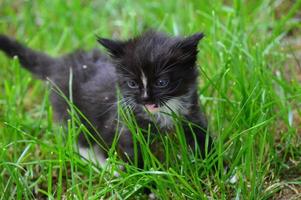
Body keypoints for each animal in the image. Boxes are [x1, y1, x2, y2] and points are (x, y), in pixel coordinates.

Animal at [0, 30, 211, 166]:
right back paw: (101, 165)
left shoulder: (191, 115)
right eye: (132, 84)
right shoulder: (125, 123)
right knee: (82, 139)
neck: (164, 112)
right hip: (73, 109)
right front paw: (145, 184)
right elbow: (133, 154)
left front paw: (211, 167)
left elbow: (202, 138)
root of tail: (60, 64)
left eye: (162, 82)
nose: (145, 100)